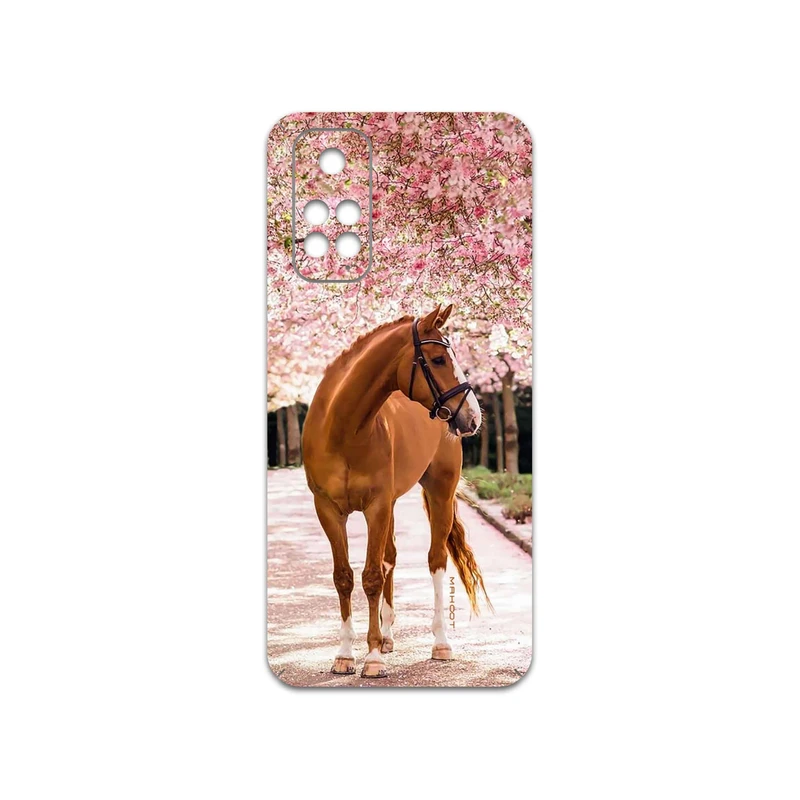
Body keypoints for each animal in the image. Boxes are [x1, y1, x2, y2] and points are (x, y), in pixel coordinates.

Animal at [302, 303, 491, 678]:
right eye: (438, 359)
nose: (473, 417)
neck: (343, 429)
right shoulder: (328, 509)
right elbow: (344, 577)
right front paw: (345, 654)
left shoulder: (376, 506)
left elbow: (372, 576)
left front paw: (372, 658)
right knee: (390, 557)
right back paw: (388, 637)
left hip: (439, 493)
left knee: (435, 560)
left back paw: (440, 643)